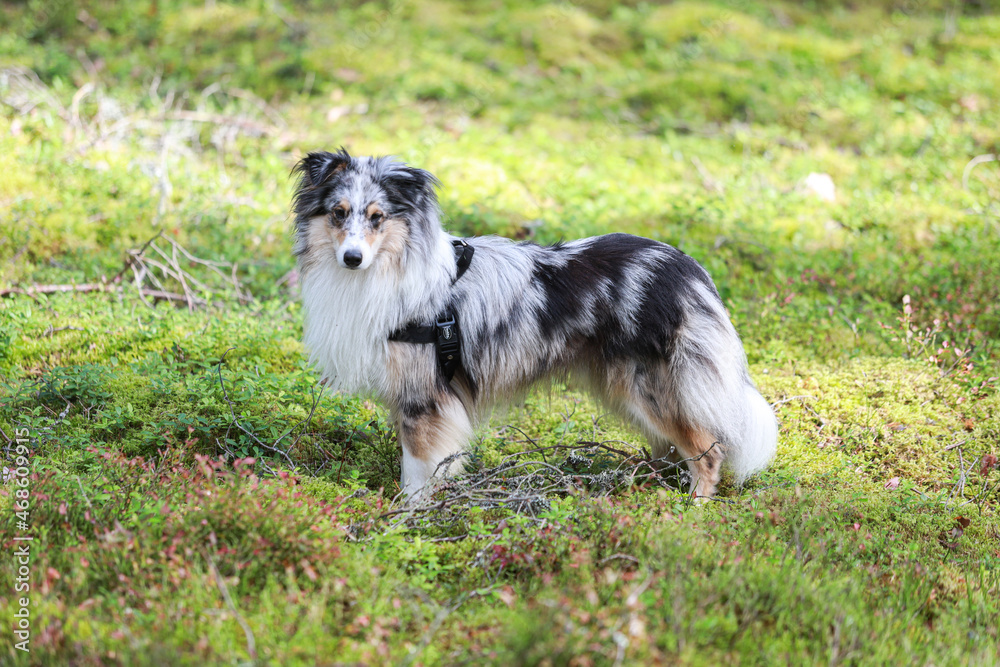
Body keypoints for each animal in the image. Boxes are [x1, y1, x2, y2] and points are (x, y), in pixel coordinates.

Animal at [292, 150, 776, 496]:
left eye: (377, 218)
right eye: (338, 213)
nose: (352, 258)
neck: (389, 270)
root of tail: (688, 269)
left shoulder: (425, 399)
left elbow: (417, 470)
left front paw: (407, 516)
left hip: (654, 387)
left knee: (707, 450)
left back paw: (691, 508)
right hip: (625, 389)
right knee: (669, 447)